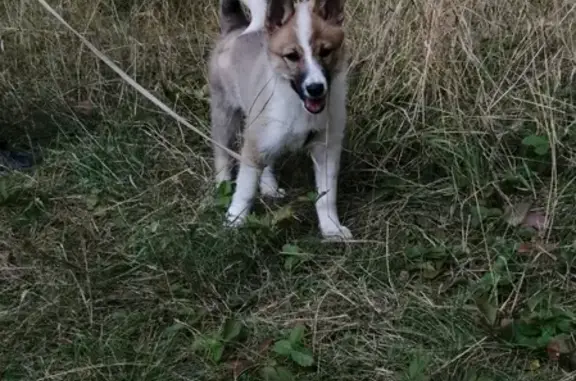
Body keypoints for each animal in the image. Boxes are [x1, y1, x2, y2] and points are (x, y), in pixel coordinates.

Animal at [207, 0, 352, 239]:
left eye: (325, 51)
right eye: (292, 56)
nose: (315, 88)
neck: (297, 104)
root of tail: (237, 28)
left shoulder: (326, 150)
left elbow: (326, 196)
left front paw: (331, 228)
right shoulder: (252, 147)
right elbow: (245, 190)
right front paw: (234, 221)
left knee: (266, 163)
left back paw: (269, 188)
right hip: (225, 114)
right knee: (222, 156)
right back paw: (222, 188)